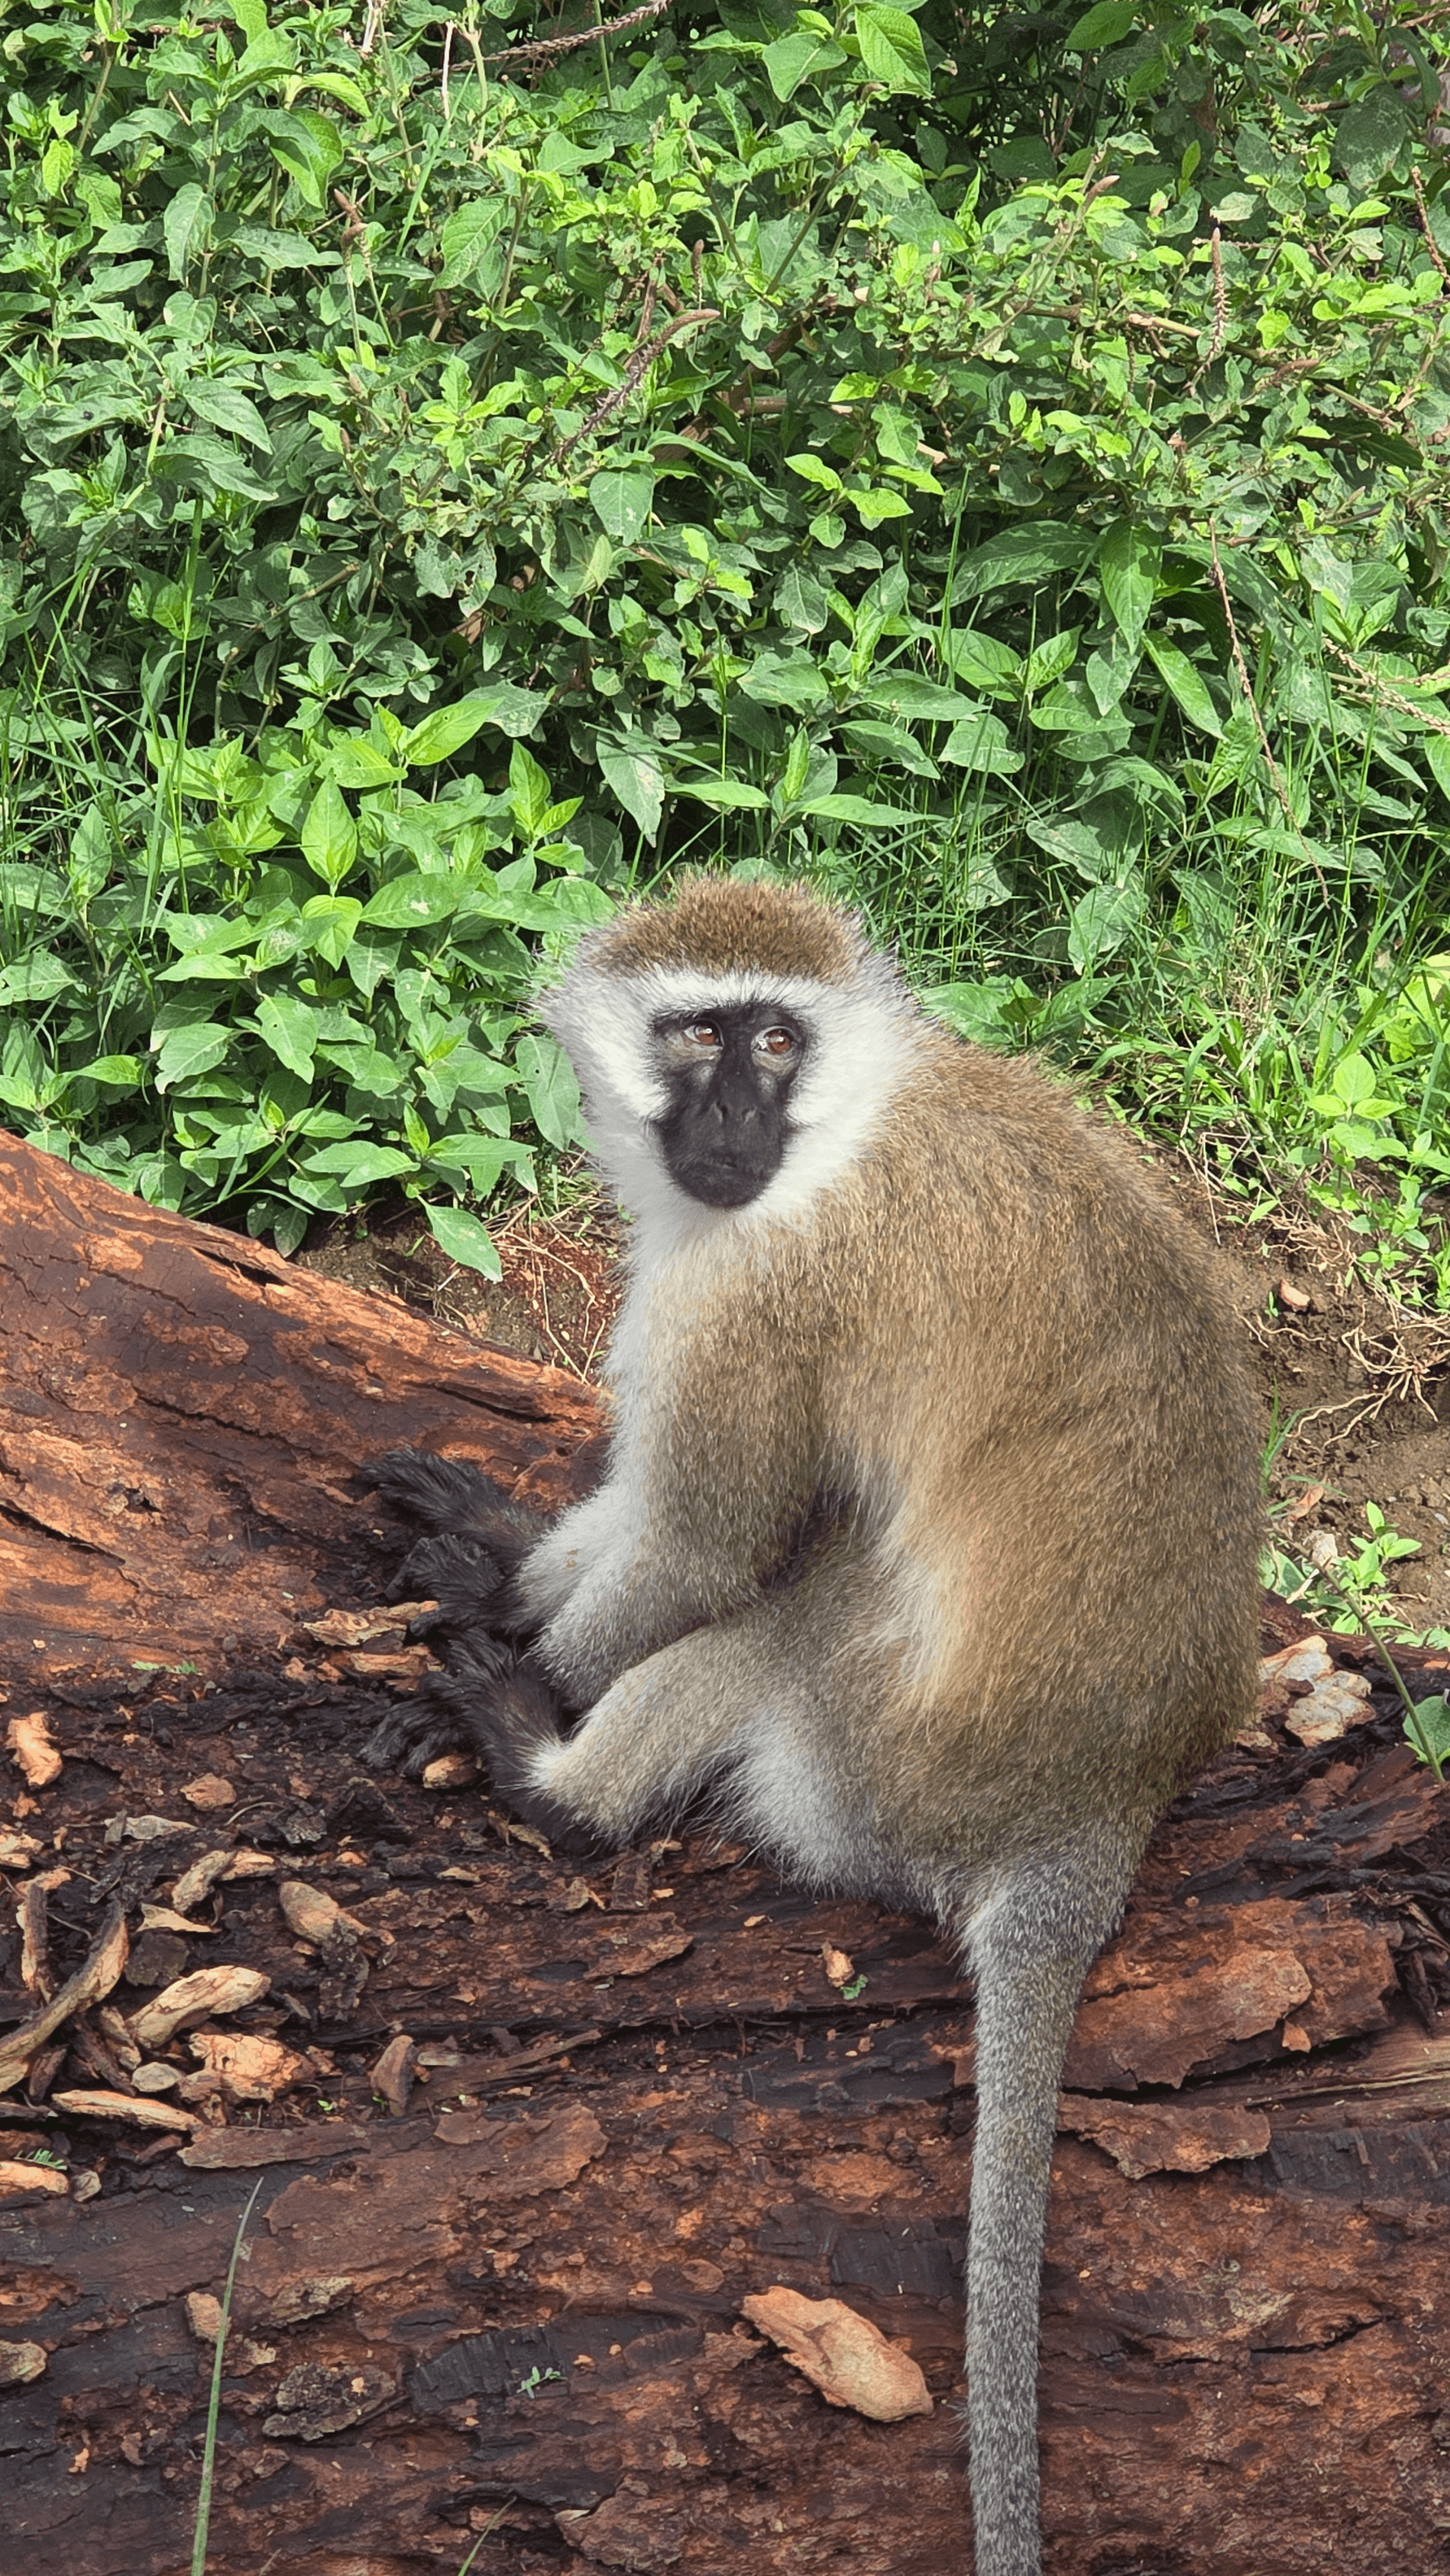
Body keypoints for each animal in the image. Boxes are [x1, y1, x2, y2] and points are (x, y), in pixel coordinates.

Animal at [365, 874, 1261, 2576]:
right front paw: (503, 1544)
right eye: (697, 1034)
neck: (843, 1135)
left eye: (776, 1041)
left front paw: (517, 1645)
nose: (728, 1118)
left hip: (884, 1761)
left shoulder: (762, 1295)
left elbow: (703, 1554)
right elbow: (645, 1521)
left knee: (784, 1610)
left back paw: (554, 1781)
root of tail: (1102, 1810)